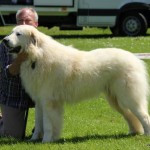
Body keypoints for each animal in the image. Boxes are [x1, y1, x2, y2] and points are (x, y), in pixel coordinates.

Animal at [2, 24, 150, 143]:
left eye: (18, 34)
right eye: (11, 32)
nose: (4, 40)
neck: (37, 56)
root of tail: (135, 59)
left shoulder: (49, 101)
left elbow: (48, 124)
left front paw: (46, 141)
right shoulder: (39, 101)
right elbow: (39, 123)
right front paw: (33, 140)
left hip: (128, 97)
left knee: (144, 116)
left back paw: (146, 134)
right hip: (116, 100)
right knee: (130, 115)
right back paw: (134, 132)